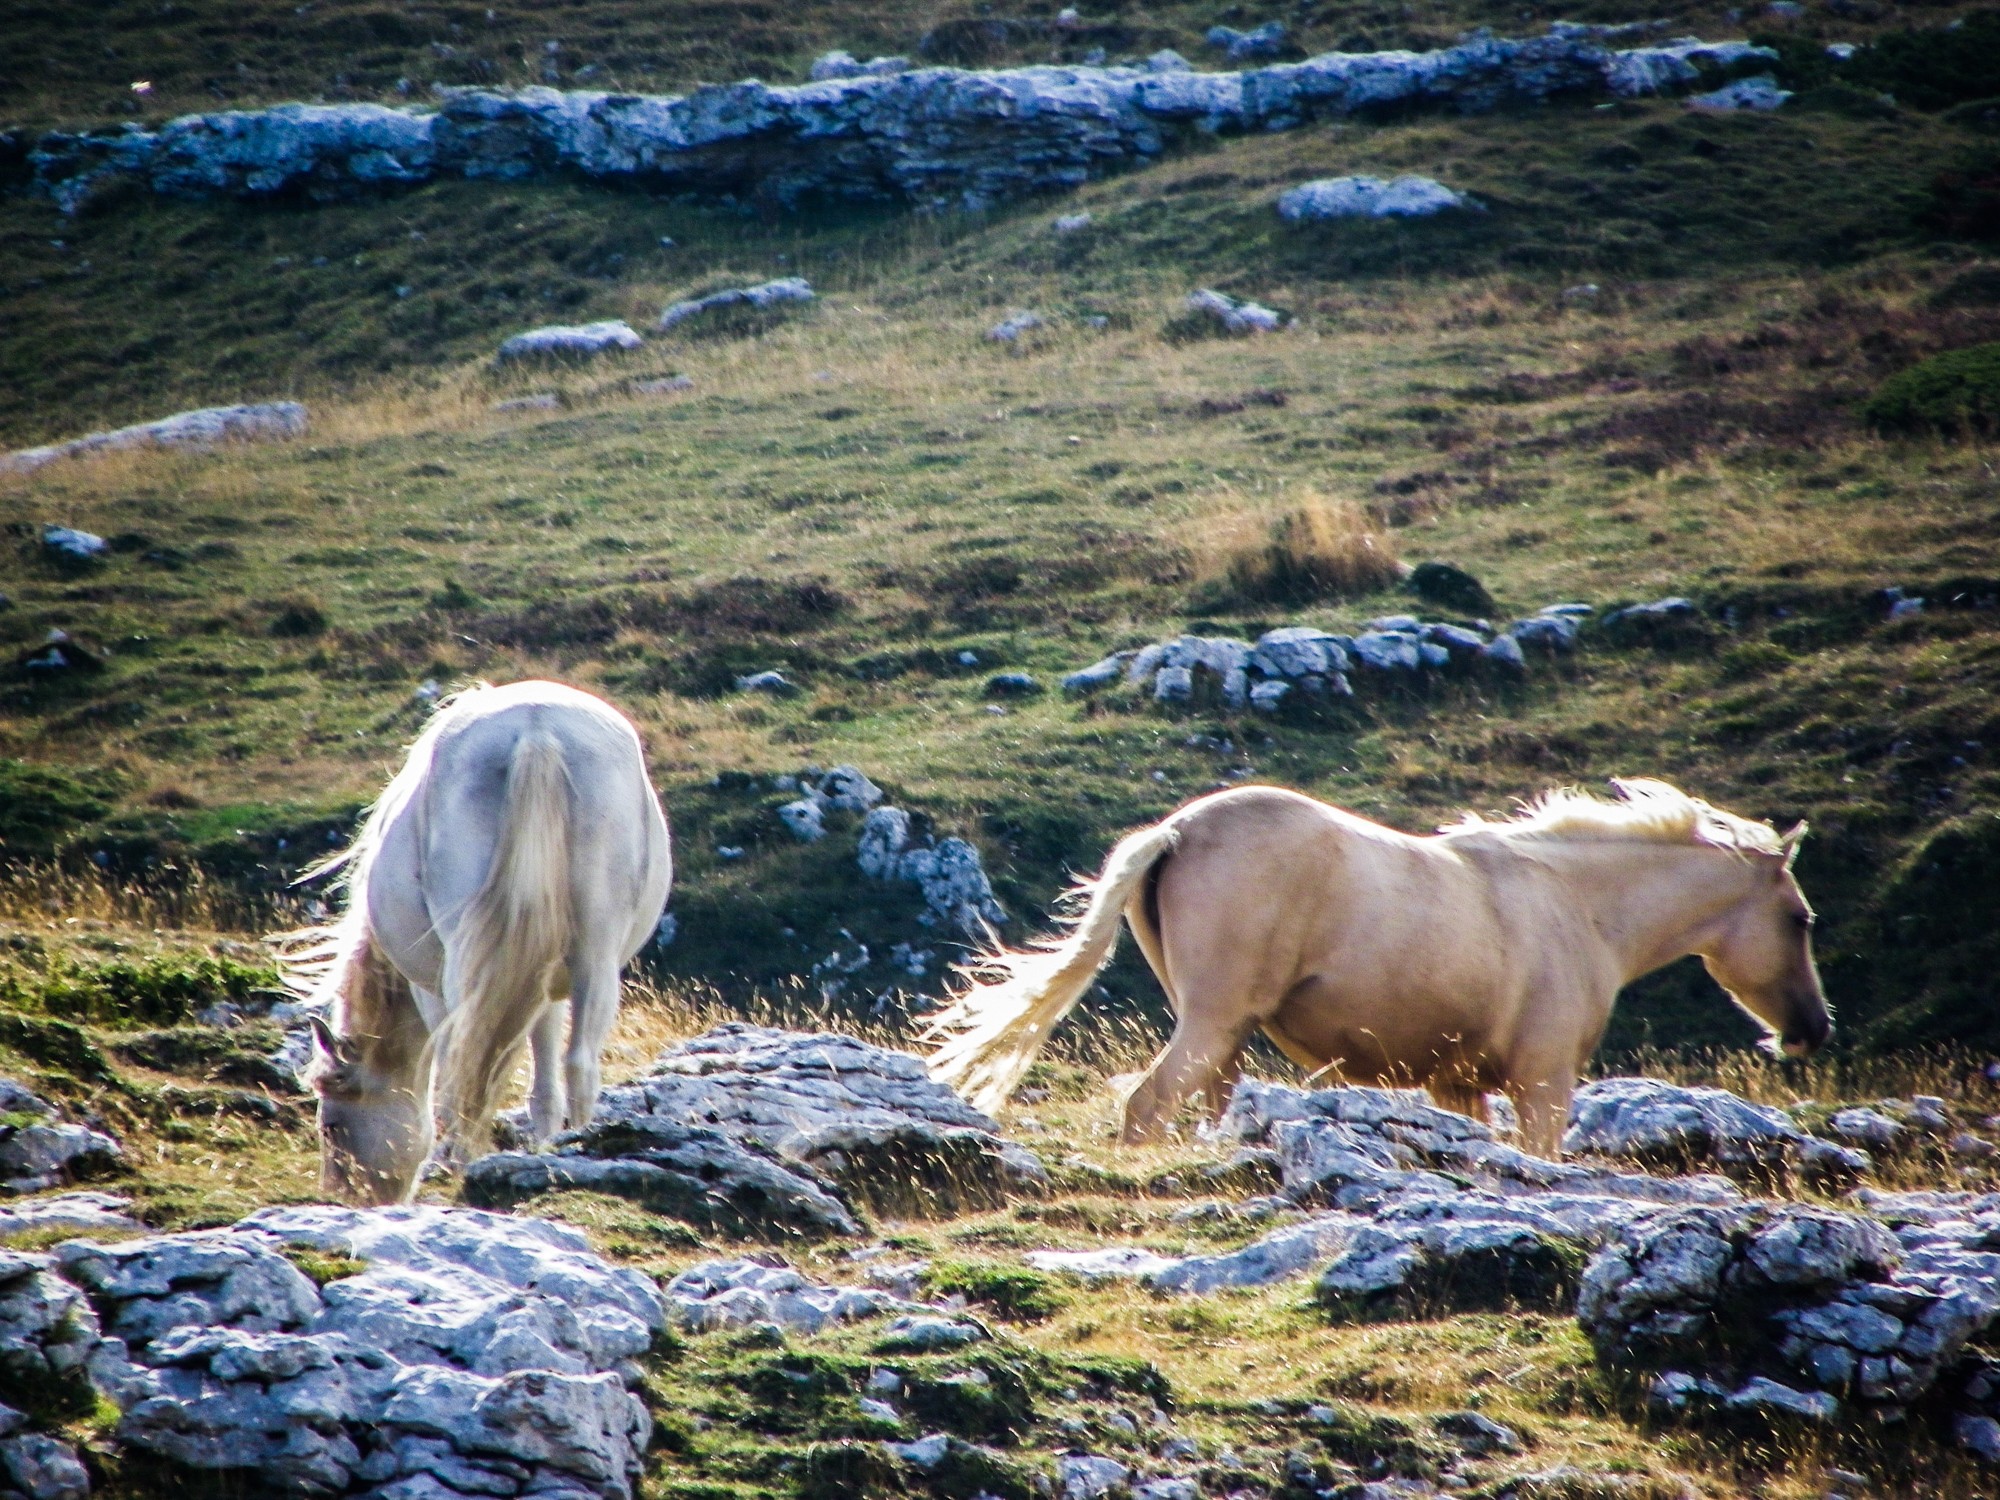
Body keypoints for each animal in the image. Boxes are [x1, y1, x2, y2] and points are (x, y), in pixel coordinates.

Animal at [292, 680, 672, 1208]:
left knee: (463, 1060)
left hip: (460, 963)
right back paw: (579, 1145)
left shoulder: (429, 988)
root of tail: (537, 729)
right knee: (579, 1064)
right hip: (596, 955)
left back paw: (456, 1163)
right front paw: (547, 1143)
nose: (348, 1200)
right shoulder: (545, 984)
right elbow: (544, 1076)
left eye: (331, 1126)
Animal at [920, 780, 1832, 1160]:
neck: (1573, 901)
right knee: (1147, 1106)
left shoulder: (1459, 1085)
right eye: (1800, 919)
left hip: (1223, 1036)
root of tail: (1175, 831)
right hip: (1214, 1021)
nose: (1810, 1030)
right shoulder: (1543, 1082)